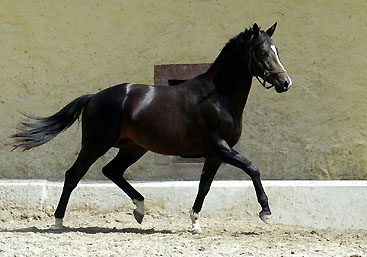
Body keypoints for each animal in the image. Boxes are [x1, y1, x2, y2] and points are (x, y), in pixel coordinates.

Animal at [11, 22, 294, 232]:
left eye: (277, 50)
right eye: (263, 52)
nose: (285, 83)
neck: (216, 96)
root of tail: (93, 97)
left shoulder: (215, 154)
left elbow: (204, 186)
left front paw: (195, 222)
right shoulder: (220, 147)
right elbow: (253, 168)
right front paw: (266, 212)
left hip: (133, 148)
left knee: (112, 171)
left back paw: (139, 209)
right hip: (95, 144)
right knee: (73, 175)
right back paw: (58, 222)